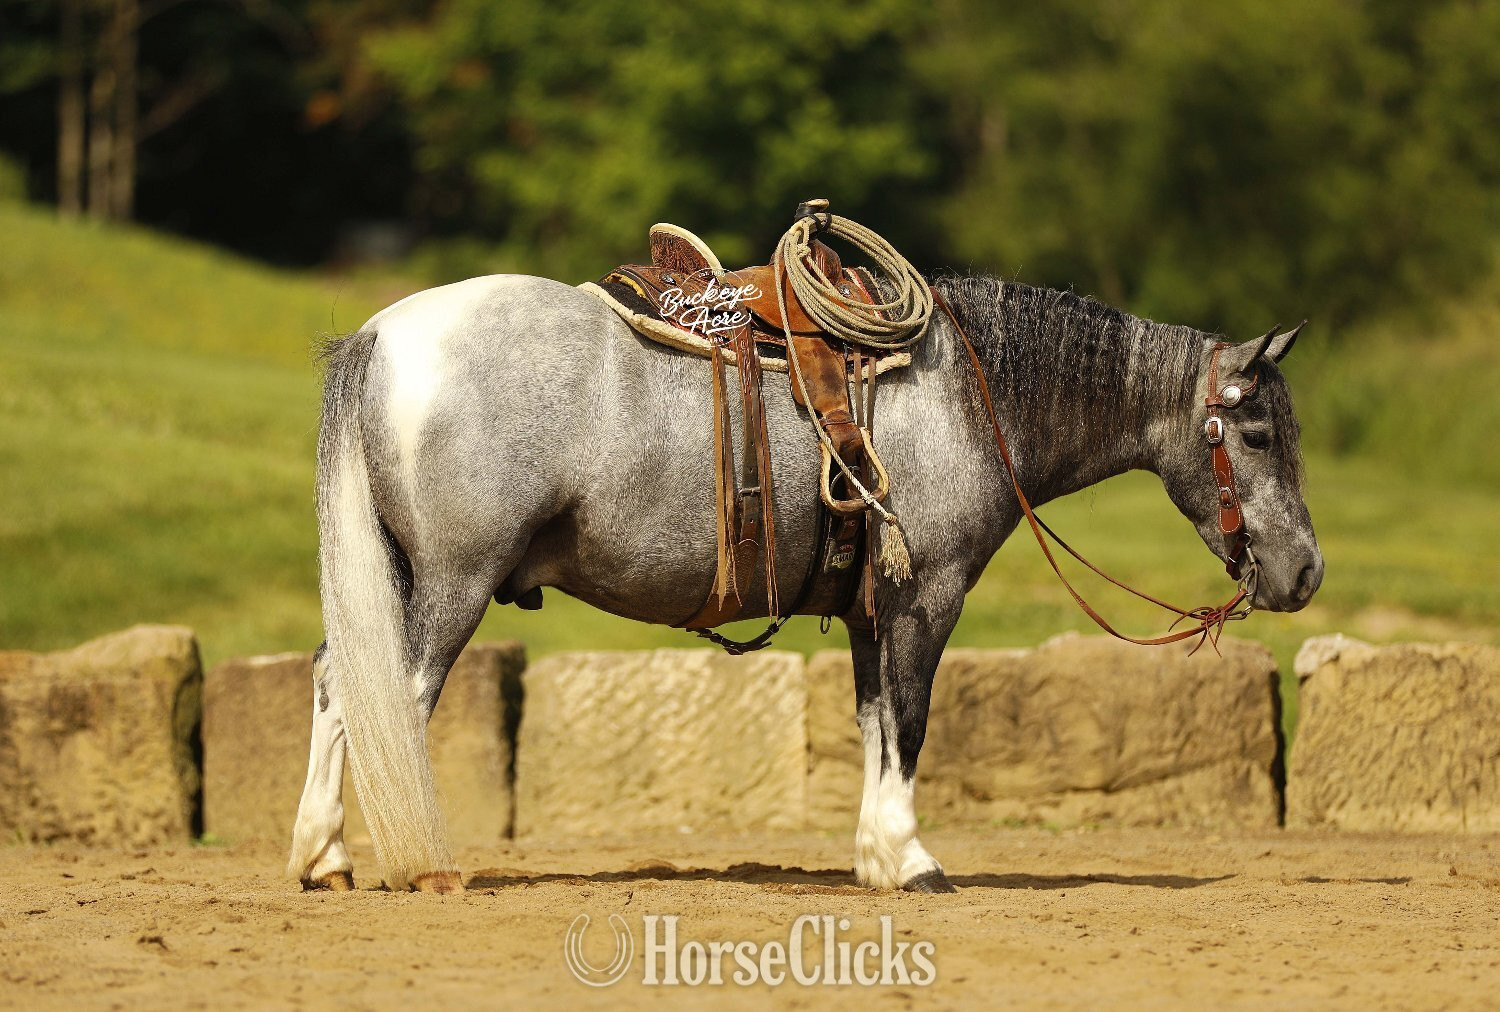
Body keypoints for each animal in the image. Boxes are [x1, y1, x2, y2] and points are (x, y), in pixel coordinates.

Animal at [287, 271, 1323, 894]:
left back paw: (323, 856)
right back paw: (415, 860)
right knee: (392, 698)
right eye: (1257, 433)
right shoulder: (925, 600)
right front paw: (912, 860)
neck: (962, 398)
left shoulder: (870, 612)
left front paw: (874, 858)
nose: (1306, 571)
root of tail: (381, 335)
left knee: (339, 685)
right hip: (453, 584)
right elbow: (910, 722)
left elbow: (873, 724)